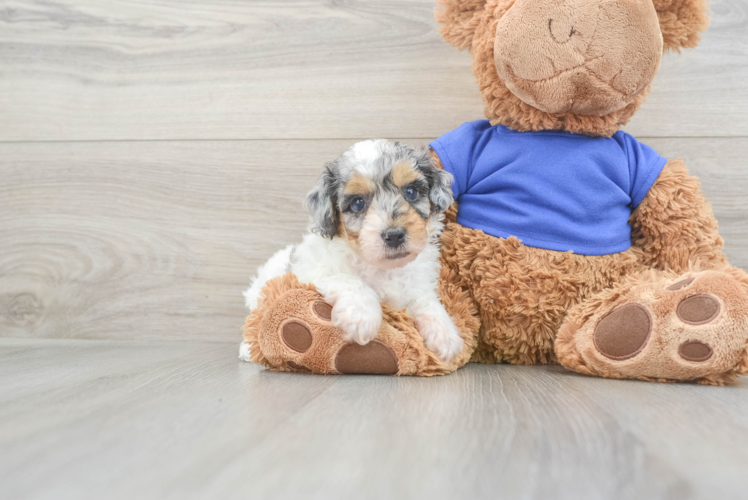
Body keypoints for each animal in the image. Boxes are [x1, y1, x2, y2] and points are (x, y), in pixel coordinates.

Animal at [241, 141, 462, 364]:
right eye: (358, 203)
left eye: (410, 192)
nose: (394, 235)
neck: (383, 268)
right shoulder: (310, 273)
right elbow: (350, 280)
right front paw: (361, 316)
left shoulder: (416, 285)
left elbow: (426, 301)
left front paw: (445, 334)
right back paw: (247, 350)